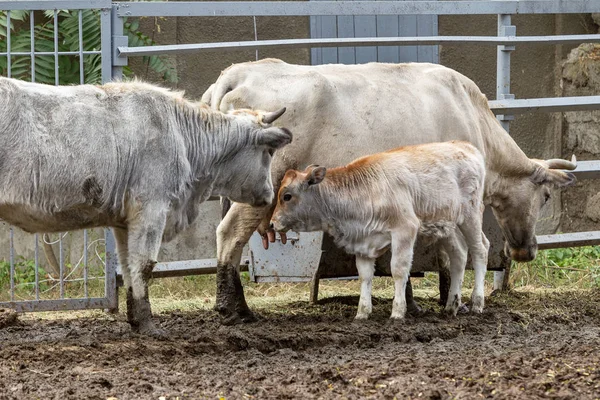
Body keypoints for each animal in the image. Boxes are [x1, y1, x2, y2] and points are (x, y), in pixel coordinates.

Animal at [270, 141, 490, 318]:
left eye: (287, 196)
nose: (272, 223)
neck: (367, 190)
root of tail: (466, 146)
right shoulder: (362, 241)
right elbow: (365, 275)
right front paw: (362, 313)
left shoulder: (405, 229)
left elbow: (399, 270)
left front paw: (397, 312)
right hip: (446, 225)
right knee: (459, 255)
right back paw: (451, 306)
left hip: (471, 215)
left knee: (480, 249)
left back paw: (477, 303)